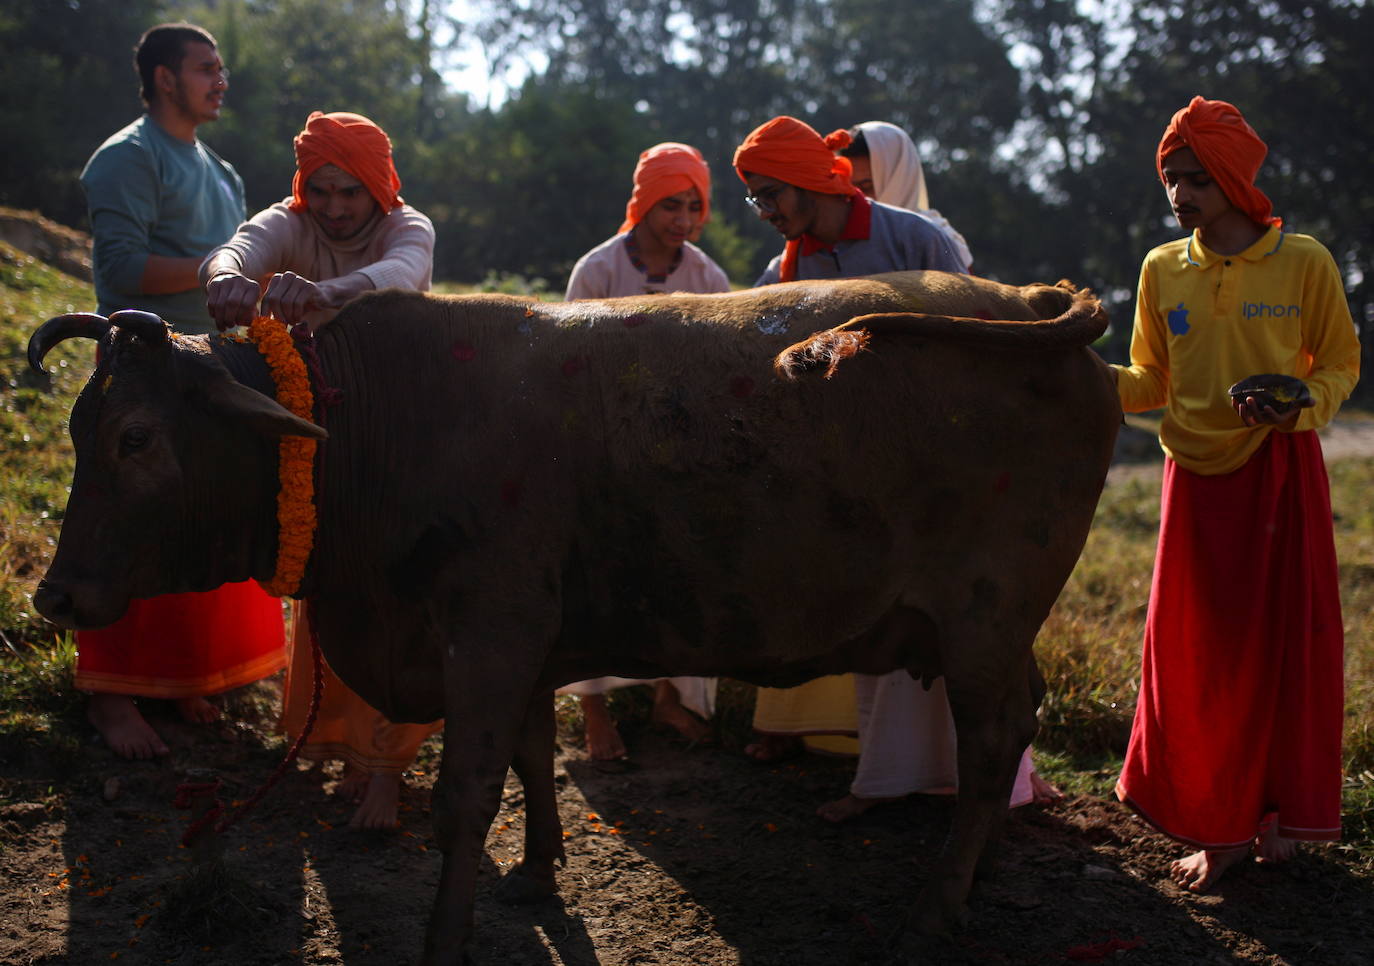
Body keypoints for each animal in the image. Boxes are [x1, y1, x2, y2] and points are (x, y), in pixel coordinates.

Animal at [29, 273, 1115, 966]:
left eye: (136, 438)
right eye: (81, 428)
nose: (55, 596)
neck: (377, 426)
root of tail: (1026, 299)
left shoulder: (491, 633)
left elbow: (469, 790)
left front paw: (447, 936)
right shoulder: (523, 646)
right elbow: (529, 756)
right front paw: (537, 873)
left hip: (983, 619)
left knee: (990, 742)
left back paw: (936, 906)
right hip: (994, 632)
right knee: (1012, 727)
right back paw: (976, 871)